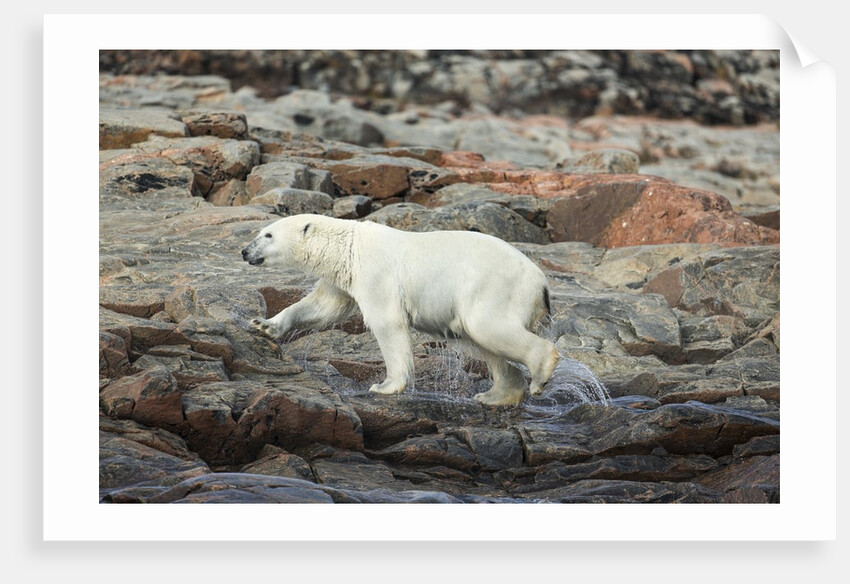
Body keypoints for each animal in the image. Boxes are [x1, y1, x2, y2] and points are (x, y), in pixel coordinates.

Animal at [241, 214, 560, 406]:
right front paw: (264, 325)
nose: (244, 251)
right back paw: (495, 395)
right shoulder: (344, 278)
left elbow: (387, 323)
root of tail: (541, 284)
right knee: (485, 342)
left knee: (487, 327)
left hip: (493, 287)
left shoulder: (376, 273)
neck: (348, 246)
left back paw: (539, 375)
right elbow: (323, 307)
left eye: (268, 235)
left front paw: (385, 386)